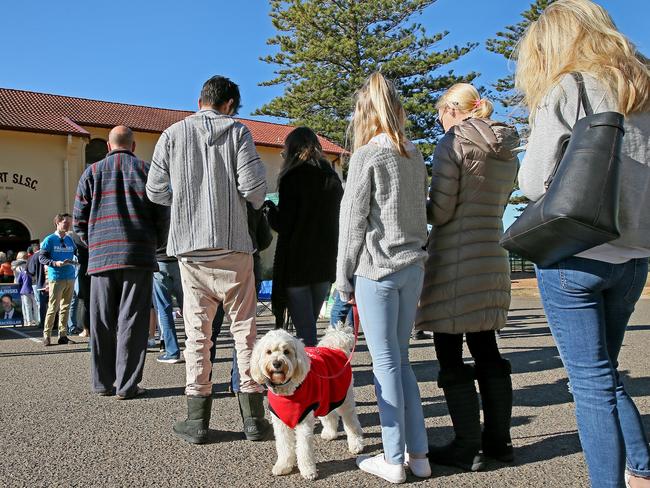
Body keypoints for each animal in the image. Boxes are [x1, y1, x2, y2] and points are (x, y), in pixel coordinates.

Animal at [249, 324, 362, 480]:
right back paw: (330, 433)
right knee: (330, 415)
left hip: (345, 399)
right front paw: (283, 466)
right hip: (325, 398)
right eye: (268, 352)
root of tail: (336, 346)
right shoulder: (280, 423)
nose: (277, 363)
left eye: (286, 351)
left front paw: (308, 471)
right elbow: (284, 446)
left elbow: (304, 448)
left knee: (351, 423)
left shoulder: (304, 420)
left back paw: (356, 445)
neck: (288, 392)